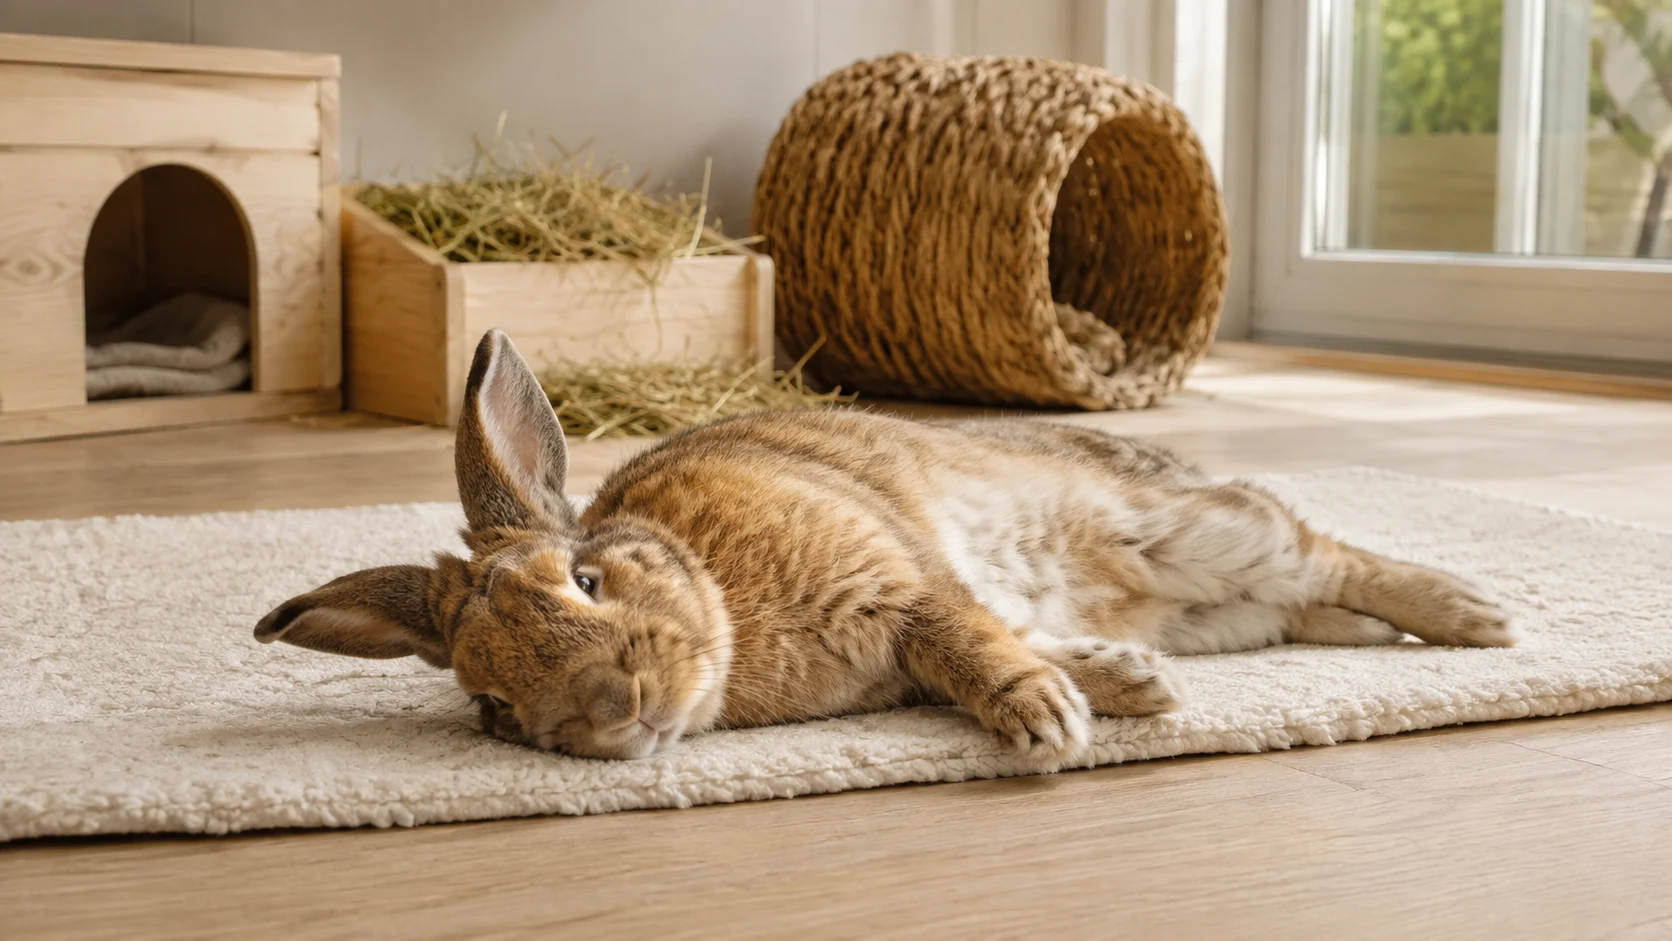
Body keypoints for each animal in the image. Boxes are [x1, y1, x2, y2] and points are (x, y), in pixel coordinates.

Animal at [254, 330, 1517, 769]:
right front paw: (1116, 687)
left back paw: (1479, 614)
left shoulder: (906, 582)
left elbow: (964, 633)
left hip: (1188, 528)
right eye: (494, 707)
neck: (720, 600)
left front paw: (1046, 722)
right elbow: (990, 645)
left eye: (585, 577)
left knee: (1321, 548)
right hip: (1222, 605)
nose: (613, 715)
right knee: (1309, 602)